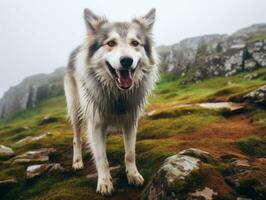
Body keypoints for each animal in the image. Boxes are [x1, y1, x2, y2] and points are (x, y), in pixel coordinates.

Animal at [64, 7, 159, 195]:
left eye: (135, 43)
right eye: (110, 43)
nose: (127, 61)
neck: (117, 94)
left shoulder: (130, 122)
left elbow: (130, 153)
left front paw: (133, 175)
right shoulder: (96, 123)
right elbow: (101, 158)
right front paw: (104, 183)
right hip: (76, 111)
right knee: (76, 138)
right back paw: (77, 162)